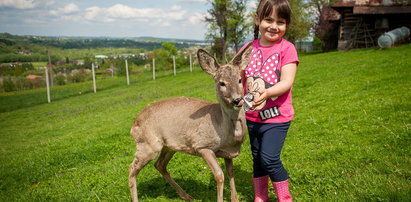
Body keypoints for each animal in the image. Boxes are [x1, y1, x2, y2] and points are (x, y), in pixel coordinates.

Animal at [129, 44, 253, 202]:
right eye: (222, 83)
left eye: (239, 79)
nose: (237, 100)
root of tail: (134, 124)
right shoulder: (202, 146)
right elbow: (219, 175)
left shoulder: (227, 153)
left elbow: (230, 173)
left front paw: (235, 199)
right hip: (148, 144)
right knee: (132, 168)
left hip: (169, 146)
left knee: (159, 164)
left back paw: (186, 196)